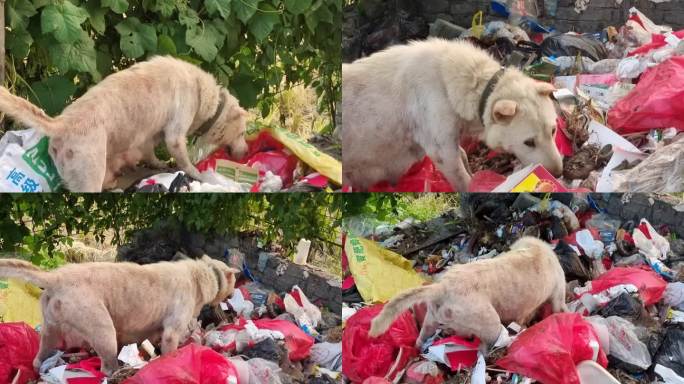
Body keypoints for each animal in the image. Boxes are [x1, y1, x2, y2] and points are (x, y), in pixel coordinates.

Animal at [0, 56, 248, 192]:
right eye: (243, 132)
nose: (246, 152)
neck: (208, 99)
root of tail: (62, 123)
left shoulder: (151, 135)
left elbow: (150, 153)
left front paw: (157, 163)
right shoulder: (175, 136)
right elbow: (186, 164)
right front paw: (199, 175)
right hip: (90, 175)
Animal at [0, 255, 239, 376]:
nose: (232, 296)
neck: (204, 274)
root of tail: (55, 277)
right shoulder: (171, 330)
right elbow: (170, 348)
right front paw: (172, 364)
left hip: (50, 331)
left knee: (39, 356)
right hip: (103, 330)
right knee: (107, 367)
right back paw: (117, 372)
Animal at [342, 38, 560, 191]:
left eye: (553, 131)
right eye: (529, 142)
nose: (558, 174)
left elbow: (463, 155)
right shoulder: (442, 152)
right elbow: (463, 180)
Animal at [368, 237, 568, 348]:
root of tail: (442, 287)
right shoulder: (557, 294)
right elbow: (557, 308)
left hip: (431, 319)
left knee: (423, 337)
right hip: (489, 323)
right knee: (487, 346)